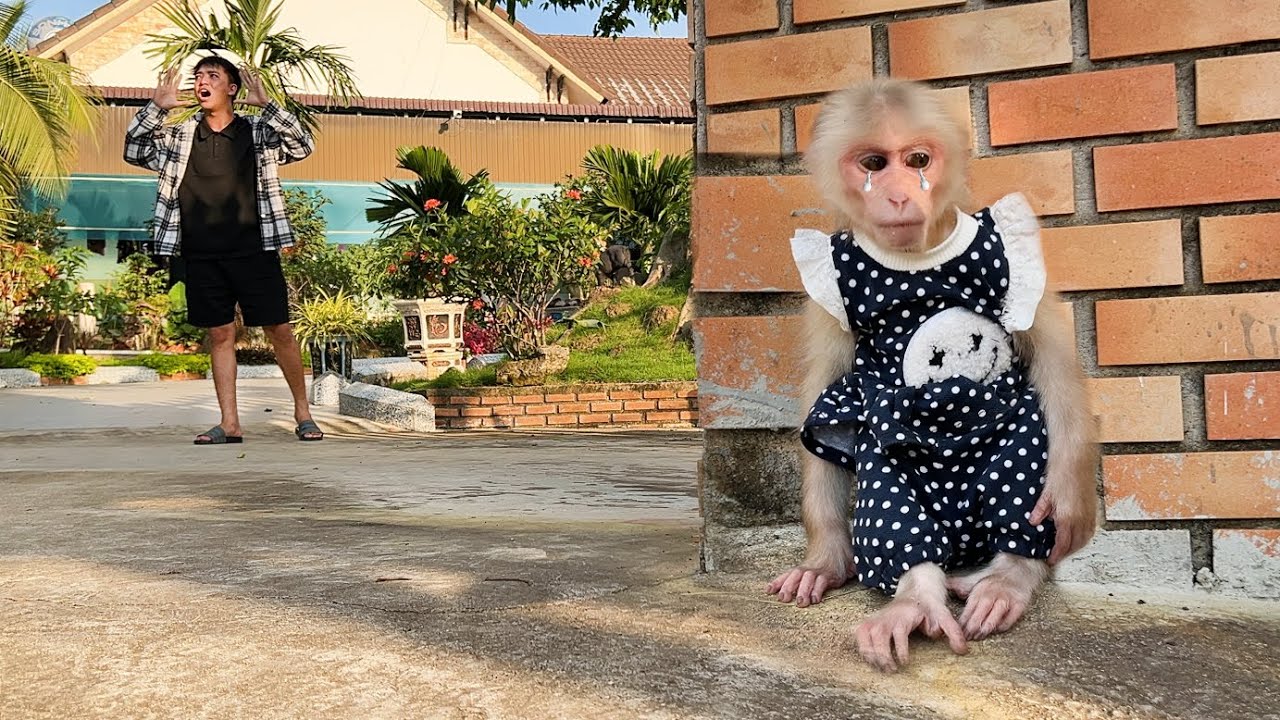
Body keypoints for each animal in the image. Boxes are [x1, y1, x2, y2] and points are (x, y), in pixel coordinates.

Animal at [764, 79, 1099, 673]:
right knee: (888, 493)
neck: (918, 260)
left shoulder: (1017, 254)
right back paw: (916, 599)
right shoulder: (826, 302)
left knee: (1027, 433)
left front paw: (1069, 497)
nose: (898, 194)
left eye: (917, 160)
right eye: (874, 163)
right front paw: (825, 559)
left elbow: (1054, 358)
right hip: (890, 466)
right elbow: (825, 388)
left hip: (1011, 454)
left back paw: (1008, 578)